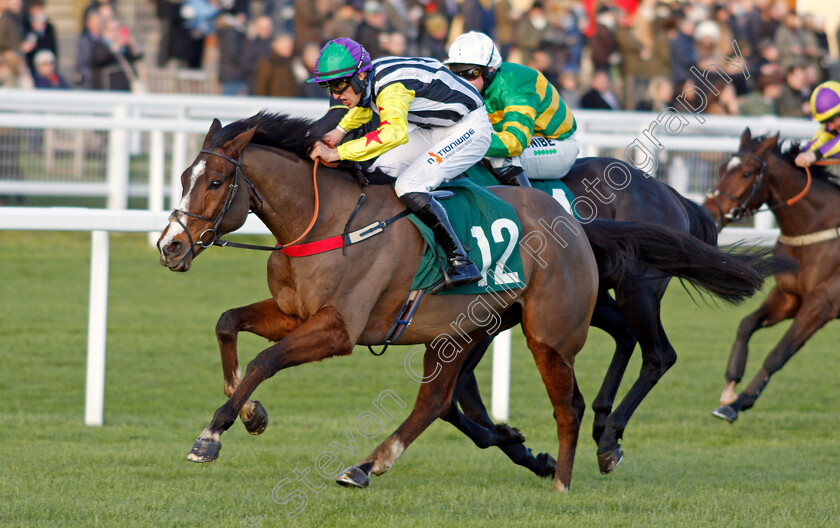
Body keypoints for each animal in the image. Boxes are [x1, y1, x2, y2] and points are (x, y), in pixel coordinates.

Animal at [156, 113, 768, 492]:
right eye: (183, 176)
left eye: (215, 182)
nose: (170, 246)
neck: (326, 221)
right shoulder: (294, 313)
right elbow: (227, 323)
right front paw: (250, 413)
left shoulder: (337, 329)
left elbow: (264, 359)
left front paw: (213, 434)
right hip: (467, 329)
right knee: (436, 400)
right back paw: (370, 465)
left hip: (580, 315)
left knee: (630, 366)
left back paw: (588, 453)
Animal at [704, 129, 836, 424]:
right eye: (721, 168)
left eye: (746, 173)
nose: (709, 212)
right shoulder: (789, 296)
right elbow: (746, 325)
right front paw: (729, 388)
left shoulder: (824, 302)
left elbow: (779, 353)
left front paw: (737, 403)